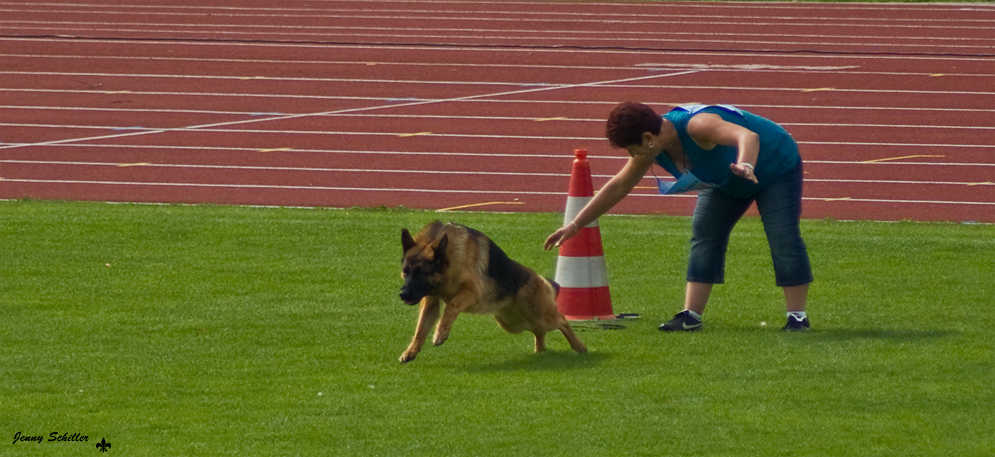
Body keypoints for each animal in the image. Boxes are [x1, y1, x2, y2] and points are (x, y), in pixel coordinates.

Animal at [398, 221, 588, 364]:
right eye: (405, 272)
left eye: (420, 273)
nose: (402, 294)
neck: (450, 260)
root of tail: (536, 278)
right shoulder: (430, 302)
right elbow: (420, 328)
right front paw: (411, 350)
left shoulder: (472, 292)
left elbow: (451, 307)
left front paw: (440, 333)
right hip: (512, 323)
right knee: (538, 330)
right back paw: (540, 350)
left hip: (539, 316)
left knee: (561, 320)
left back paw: (578, 346)